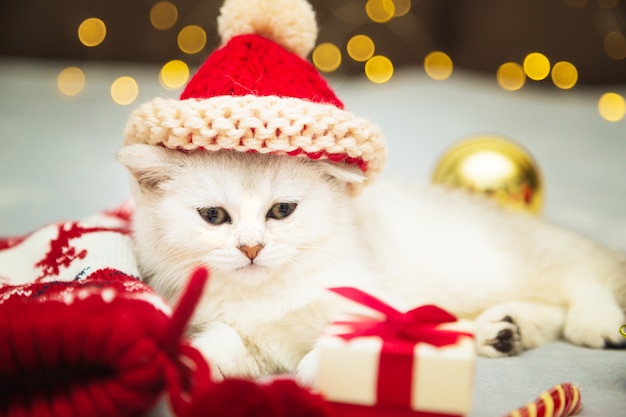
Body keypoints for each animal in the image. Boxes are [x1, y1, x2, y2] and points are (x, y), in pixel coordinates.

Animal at [117, 144, 624, 384]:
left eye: (282, 211)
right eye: (214, 216)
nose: (252, 249)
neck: (265, 293)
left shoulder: (378, 298)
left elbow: (351, 338)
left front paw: (321, 370)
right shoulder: (248, 337)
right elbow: (219, 347)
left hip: (495, 264)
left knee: (579, 276)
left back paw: (595, 322)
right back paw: (501, 330)